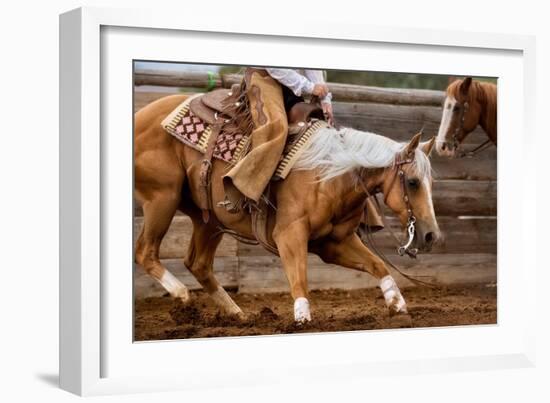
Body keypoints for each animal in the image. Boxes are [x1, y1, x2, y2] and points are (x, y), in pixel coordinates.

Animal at [135, 94, 444, 326]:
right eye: (413, 182)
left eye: (431, 181)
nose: (431, 235)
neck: (329, 175)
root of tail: (140, 116)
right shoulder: (289, 234)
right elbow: (300, 278)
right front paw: (302, 319)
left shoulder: (334, 243)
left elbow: (378, 265)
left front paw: (398, 305)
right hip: (162, 197)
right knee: (145, 252)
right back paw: (182, 294)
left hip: (208, 220)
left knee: (197, 263)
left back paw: (236, 313)